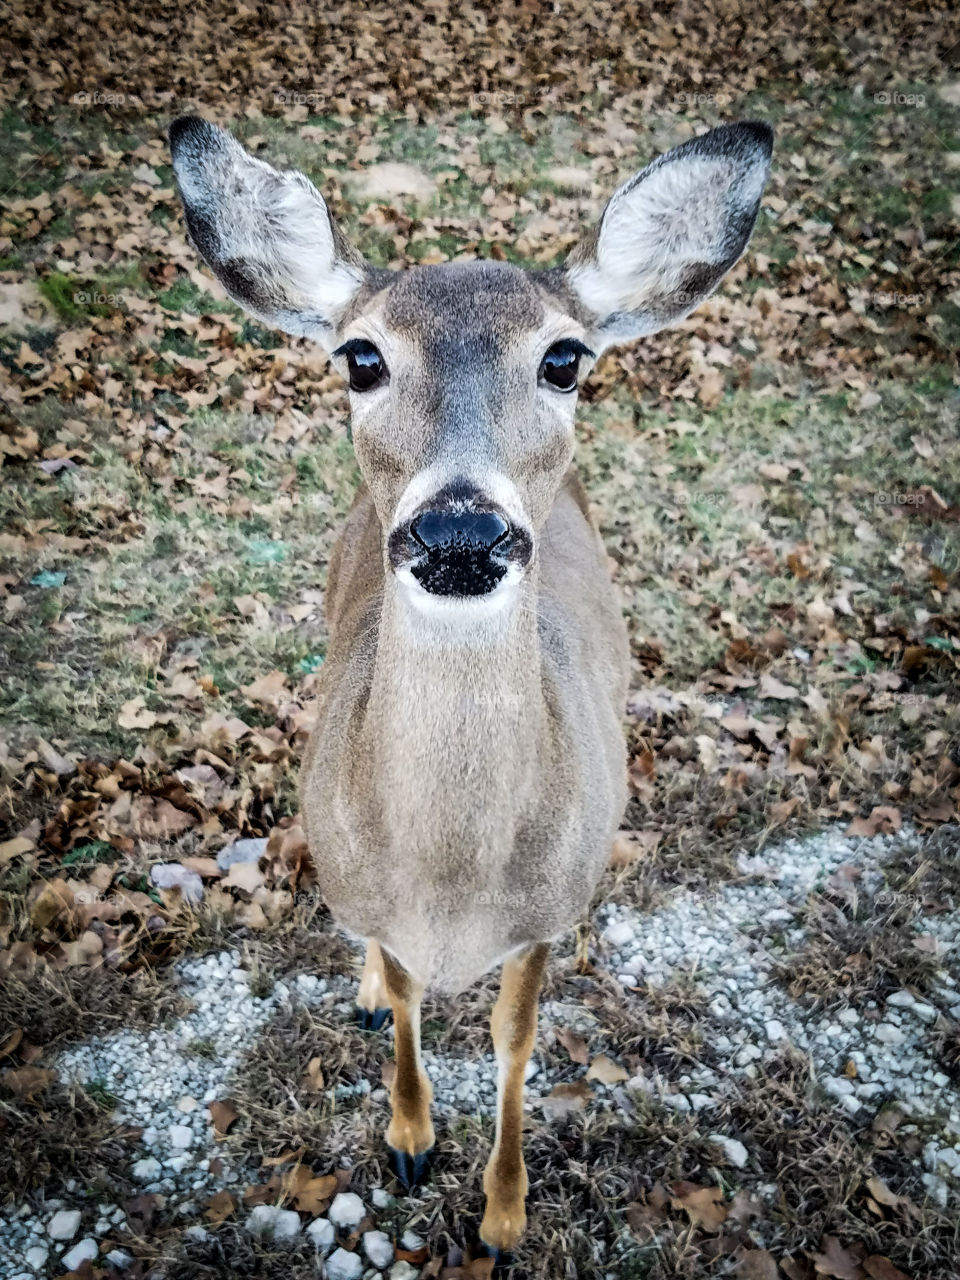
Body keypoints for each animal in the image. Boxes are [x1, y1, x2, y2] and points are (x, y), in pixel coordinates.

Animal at [171, 115, 773, 1264]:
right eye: (360, 356)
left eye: (565, 356)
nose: (459, 527)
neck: (451, 881)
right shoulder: (371, 883)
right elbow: (408, 1005)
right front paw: (410, 1137)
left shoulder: (551, 911)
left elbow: (513, 1036)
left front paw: (501, 1213)